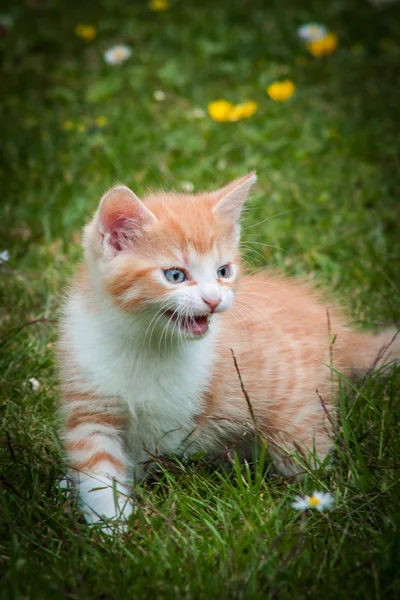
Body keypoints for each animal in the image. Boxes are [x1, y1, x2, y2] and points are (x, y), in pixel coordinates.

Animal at [57, 172, 400, 524]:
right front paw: (110, 524)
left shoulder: (171, 416)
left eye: (223, 271)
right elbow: (97, 469)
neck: (141, 340)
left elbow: (144, 452)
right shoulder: (89, 398)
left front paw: (118, 520)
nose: (213, 299)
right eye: (175, 275)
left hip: (297, 416)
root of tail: (341, 334)